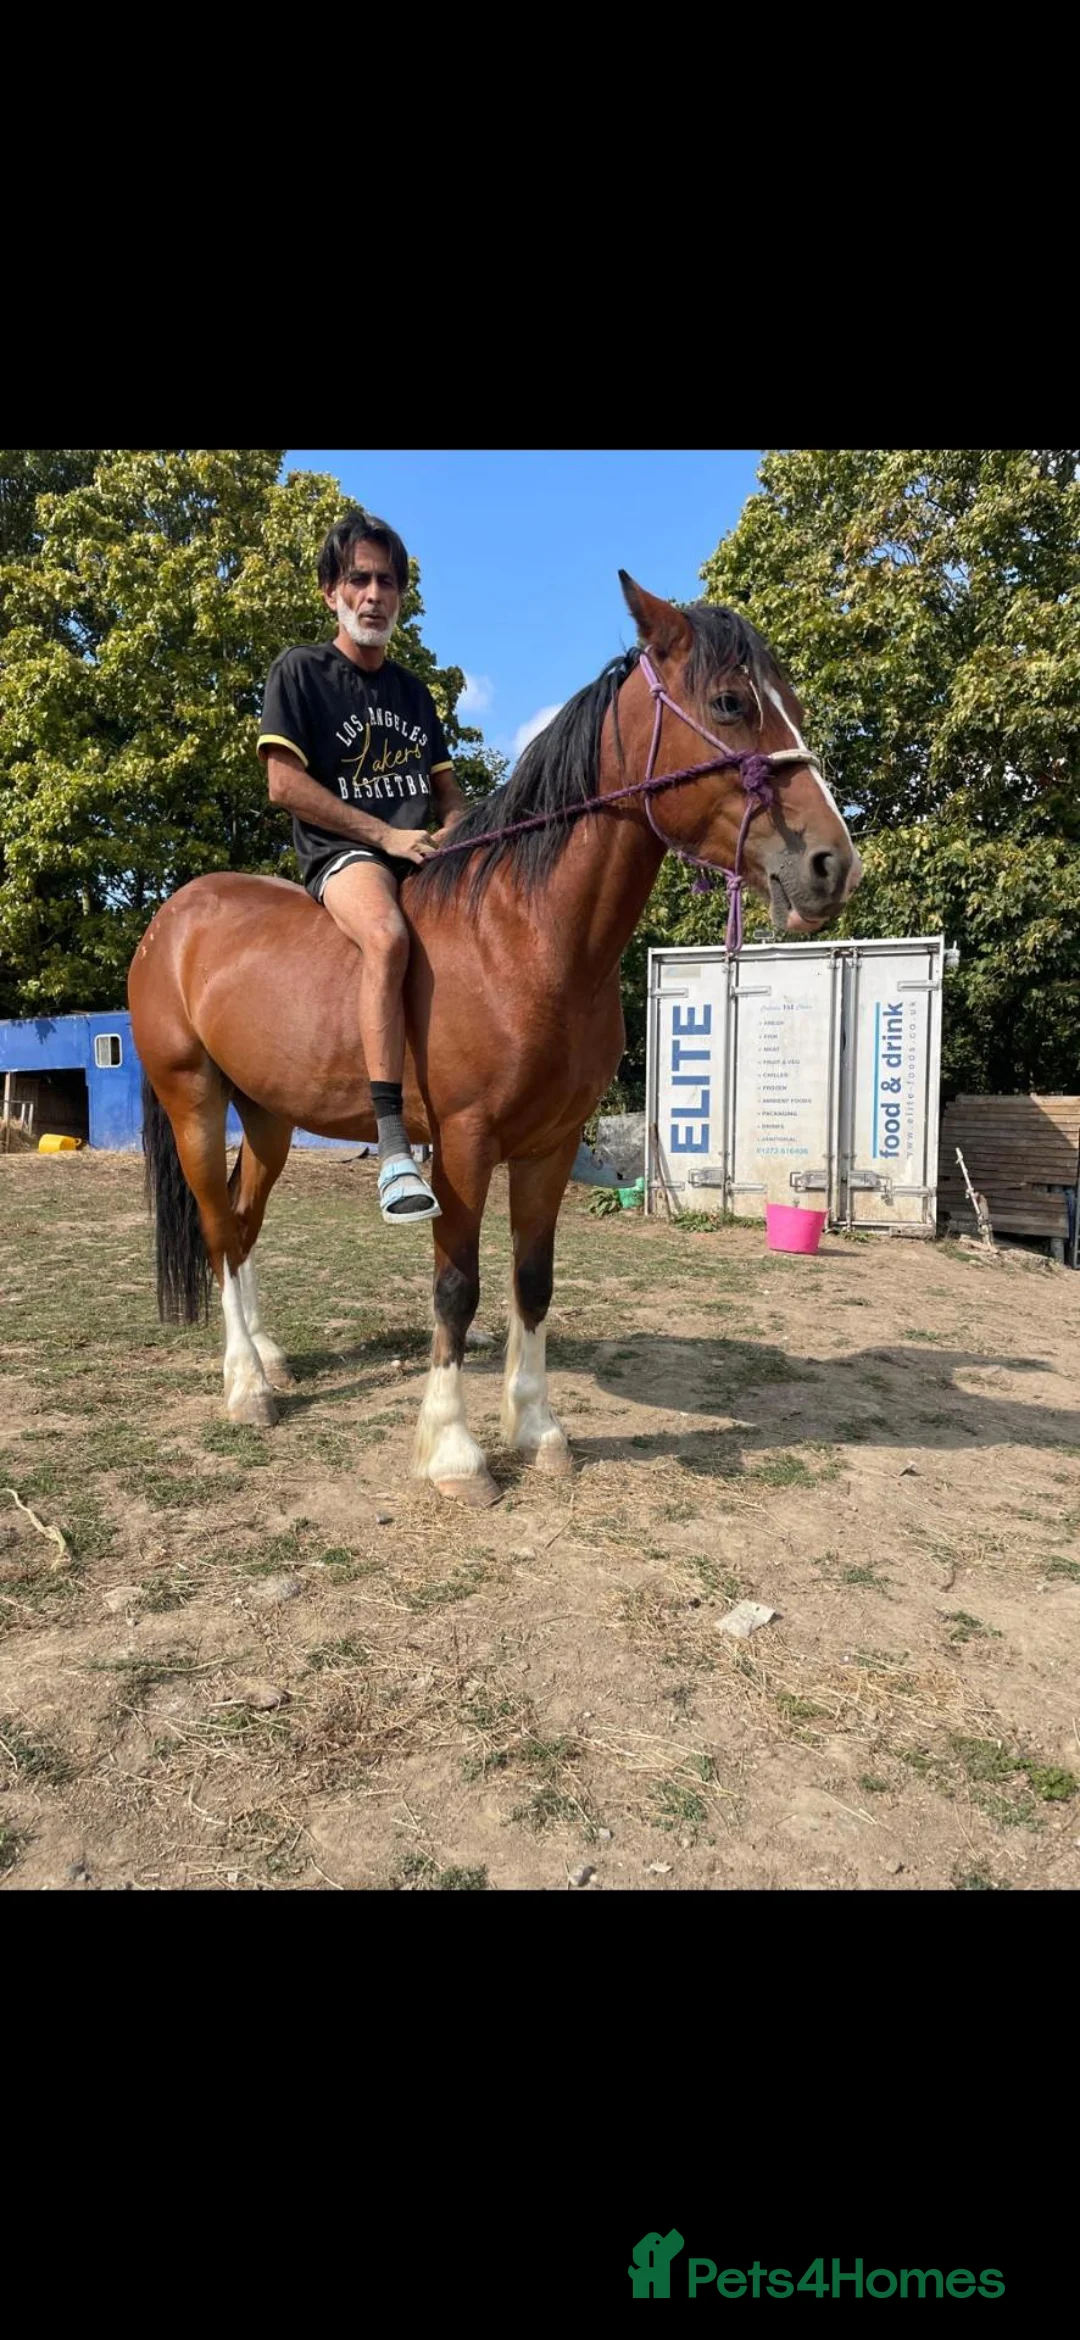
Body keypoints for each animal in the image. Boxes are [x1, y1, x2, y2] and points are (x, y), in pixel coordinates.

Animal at [128, 575, 861, 1506]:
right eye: (730, 703)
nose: (832, 867)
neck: (527, 935)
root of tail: (172, 919)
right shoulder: (466, 1146)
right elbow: (456, 1287)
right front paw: (454, 1452)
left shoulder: (549, 1146)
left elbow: (532, 1282)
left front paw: (539, 1430)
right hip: (193, 1099)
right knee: (222, 1229)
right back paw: (246, 1387)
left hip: (266, 1117)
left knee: (245, 1223)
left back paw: (265, 1357)